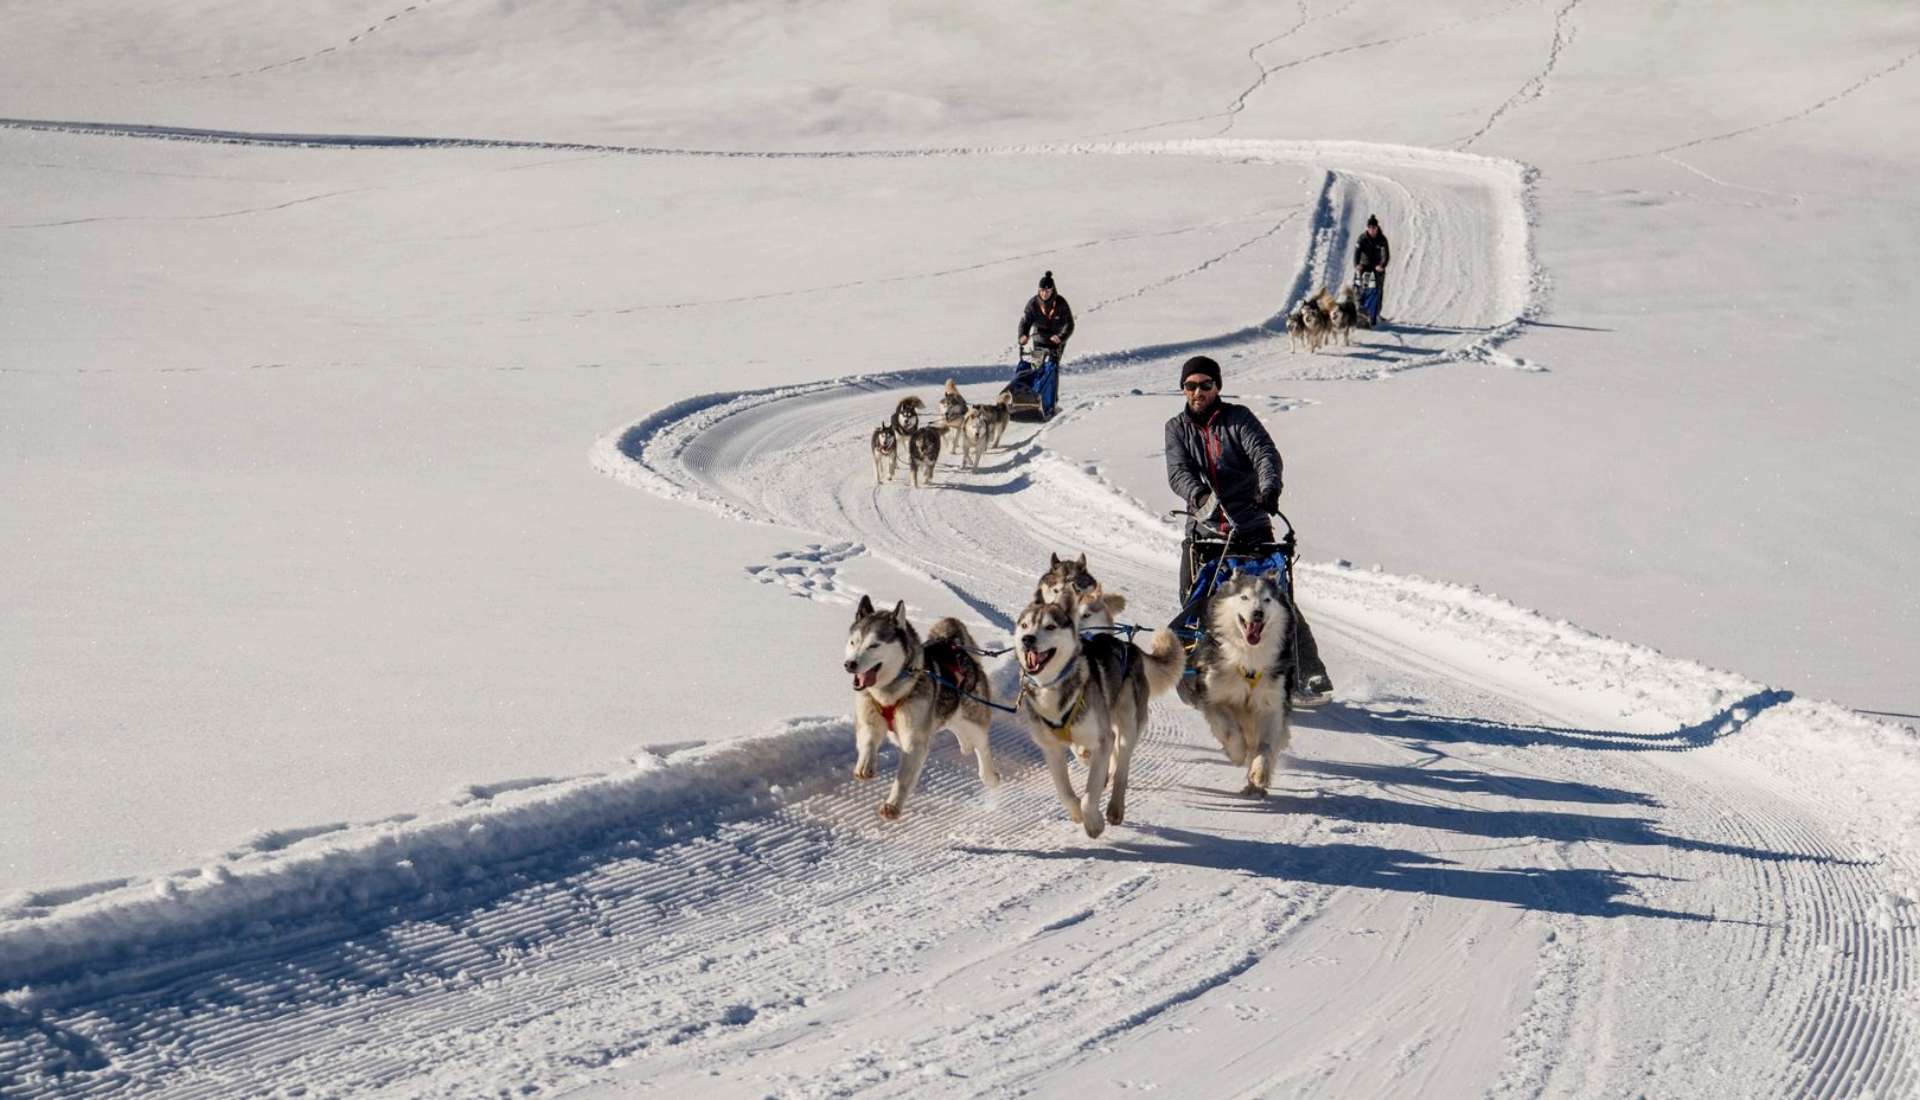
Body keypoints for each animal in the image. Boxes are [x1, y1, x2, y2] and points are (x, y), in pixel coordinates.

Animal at [844, 591, 998, 813]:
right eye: (853, 642)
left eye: (874, 645)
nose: (850, 664)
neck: (889, 693)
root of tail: (954, 645)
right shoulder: (869, 719)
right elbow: (868, 741)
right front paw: (865, 766)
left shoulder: (914, 741)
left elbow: (903, 778)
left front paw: (892, 805)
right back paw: (965, 746)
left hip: (973, 718)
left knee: (982, 746)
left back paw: (990, 776)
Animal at [1013, 598, 1175, 833]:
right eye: (1025, 625)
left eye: (1050, 626)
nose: (1027, 639)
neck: (1051, 687)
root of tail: (1129, 646)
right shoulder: (1051, 748)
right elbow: (1065, 792)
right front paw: (1077, 814)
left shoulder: (1101, 740)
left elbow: (1089, 797)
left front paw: (1093, 823)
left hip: (1128, 722)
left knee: (1121, 766)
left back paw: (1115, 807)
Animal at [1167, 572, 1290, 794]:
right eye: (1244, 597)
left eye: (1267, 599)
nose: (1258, 613)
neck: (1249, 659)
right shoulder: (1214, 698)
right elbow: (1229, 730)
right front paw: (1237, 752)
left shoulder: (1271, 705)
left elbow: (1266, 745)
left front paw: (1260, 771)